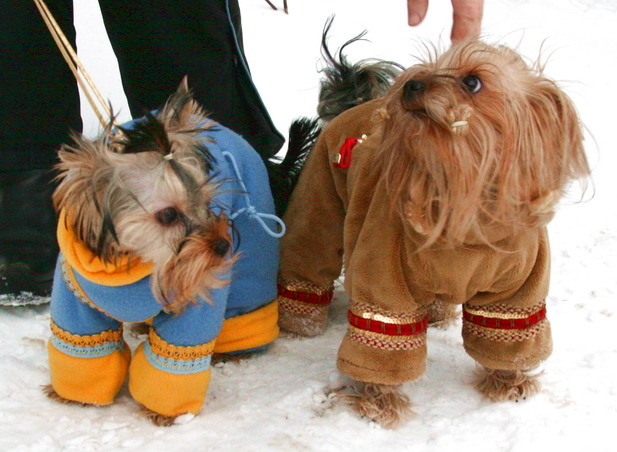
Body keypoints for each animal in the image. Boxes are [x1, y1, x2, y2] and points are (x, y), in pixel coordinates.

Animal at [274, 38, 588, 428]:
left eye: (472, 81)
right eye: (426, 69)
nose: (411, 85)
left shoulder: (518, 285)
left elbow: (508, 331)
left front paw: (509, 380)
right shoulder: (384, 274)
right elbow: (383, 333)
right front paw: (380, 404)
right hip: (320, 197)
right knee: (310, 250)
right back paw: (300, 322)